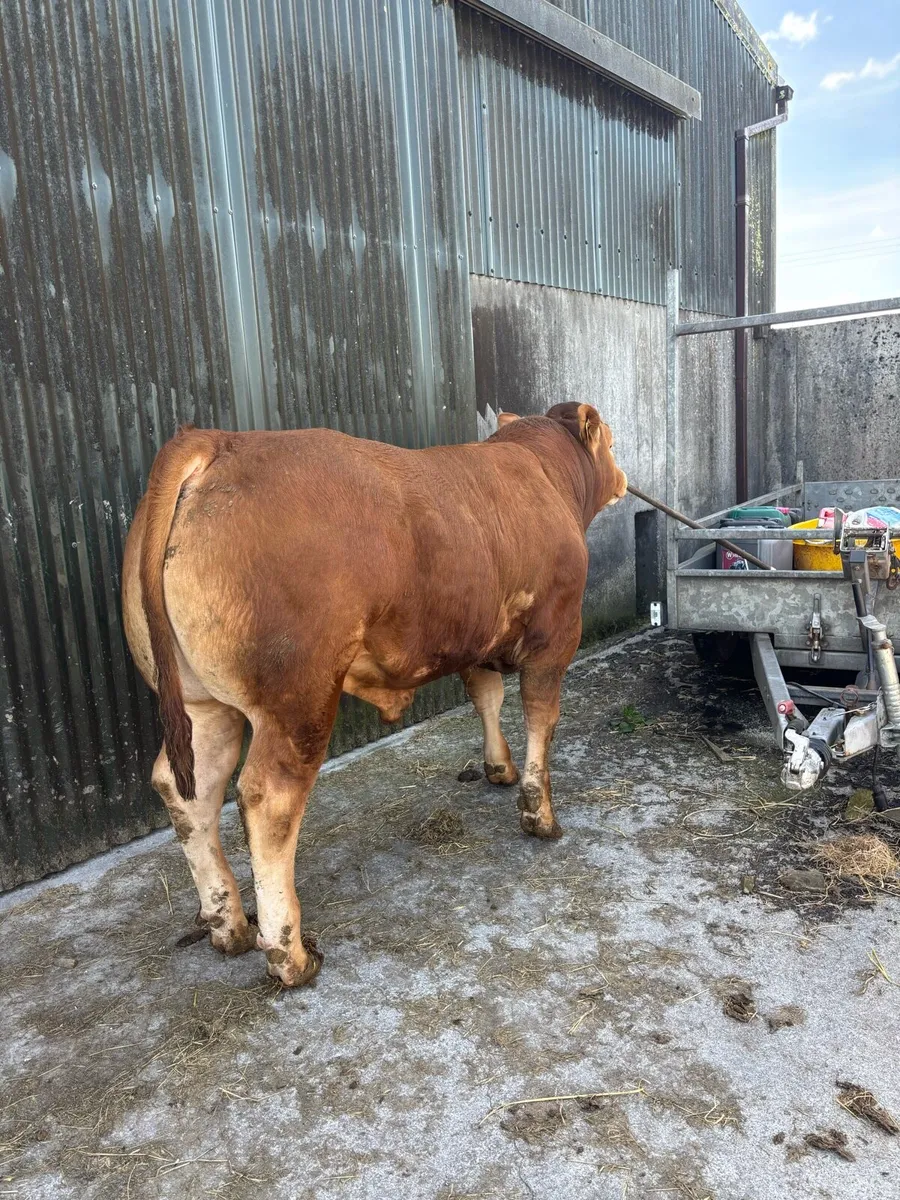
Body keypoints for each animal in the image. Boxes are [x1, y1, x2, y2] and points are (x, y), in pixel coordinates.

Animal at [122, 402, 627, 986]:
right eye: (611, 440)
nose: (623, 478)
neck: (543, 473)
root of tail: (218, 441)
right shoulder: (556, 635)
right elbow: (541, 720)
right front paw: (539, 814)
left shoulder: (477, 635)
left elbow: (487, 697)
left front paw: (497, 768)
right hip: (299, 700)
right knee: (269, 799)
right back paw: (290, 955)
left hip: (201, 703)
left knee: (188, 790)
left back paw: (229, 927)